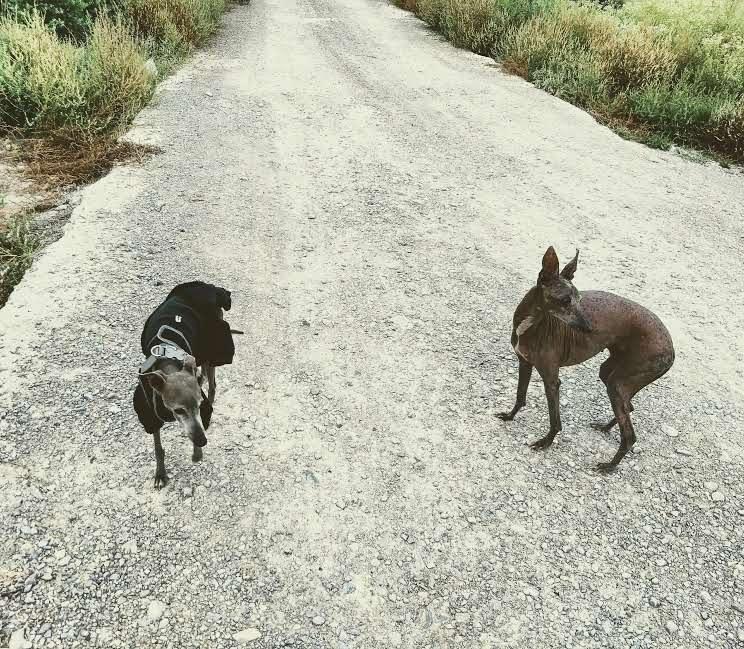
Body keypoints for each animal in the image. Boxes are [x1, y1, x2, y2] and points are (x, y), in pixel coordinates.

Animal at [500, 246, 676, 468]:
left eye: (580, 300)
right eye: (565, 300)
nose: (590, 328)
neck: (533, 324)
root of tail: (671, 350)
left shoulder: (551, 381)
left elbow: (555, 421)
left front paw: (545, 442)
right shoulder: (524, 363)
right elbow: (520, 397)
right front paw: (509, 416)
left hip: (618, 383)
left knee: (629, 435)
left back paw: (609, 467)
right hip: (612, 375)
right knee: (629, 407)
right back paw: (605, 428)